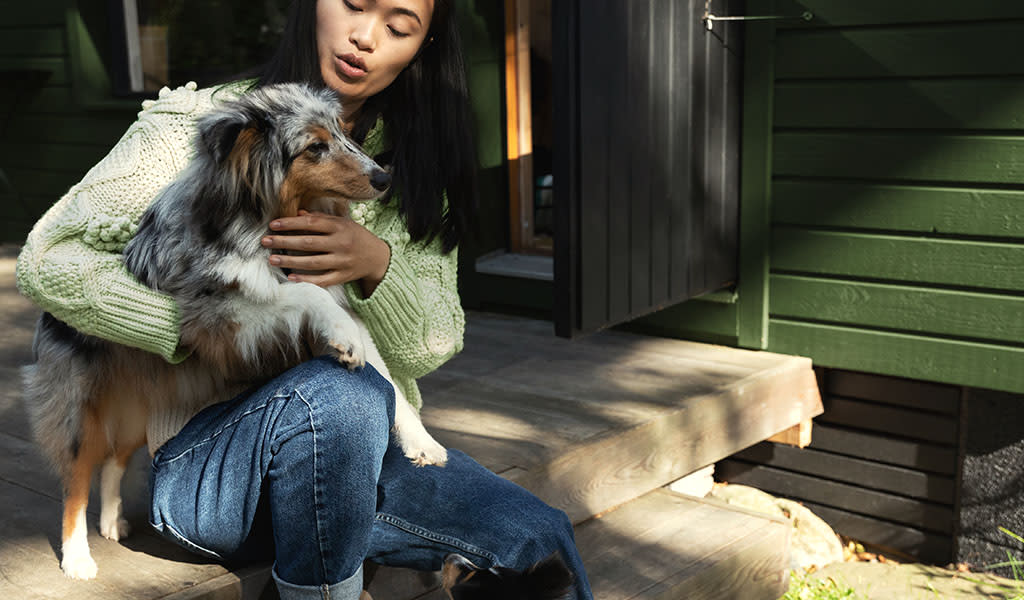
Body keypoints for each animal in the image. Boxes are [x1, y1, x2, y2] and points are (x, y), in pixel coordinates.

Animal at [23, 81, 448, 577]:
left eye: (344, 134)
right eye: (315, 147)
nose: (383, 179)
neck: (260, 215)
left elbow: (390, 383)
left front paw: (423, 443)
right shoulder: (223, 317)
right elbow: (306, 295)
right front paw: (339, 336)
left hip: (135, 404)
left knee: (113, 461)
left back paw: (112, 522)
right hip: (81, 407)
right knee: (76, 479)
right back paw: (77, 558)